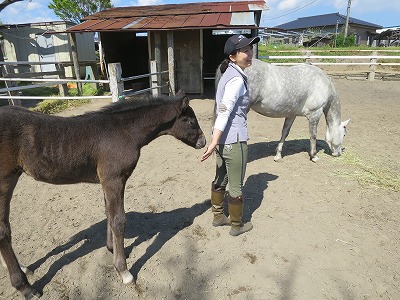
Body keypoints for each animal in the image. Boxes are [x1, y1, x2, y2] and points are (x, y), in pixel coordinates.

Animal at [216, 58, 350, 162]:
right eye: (343, 134)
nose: (338, 153)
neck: (323, 84)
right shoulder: (314, 114)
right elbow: (313, 135)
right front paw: (314, 156)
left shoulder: (291, 115)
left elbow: (284, 133)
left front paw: (278, 154)